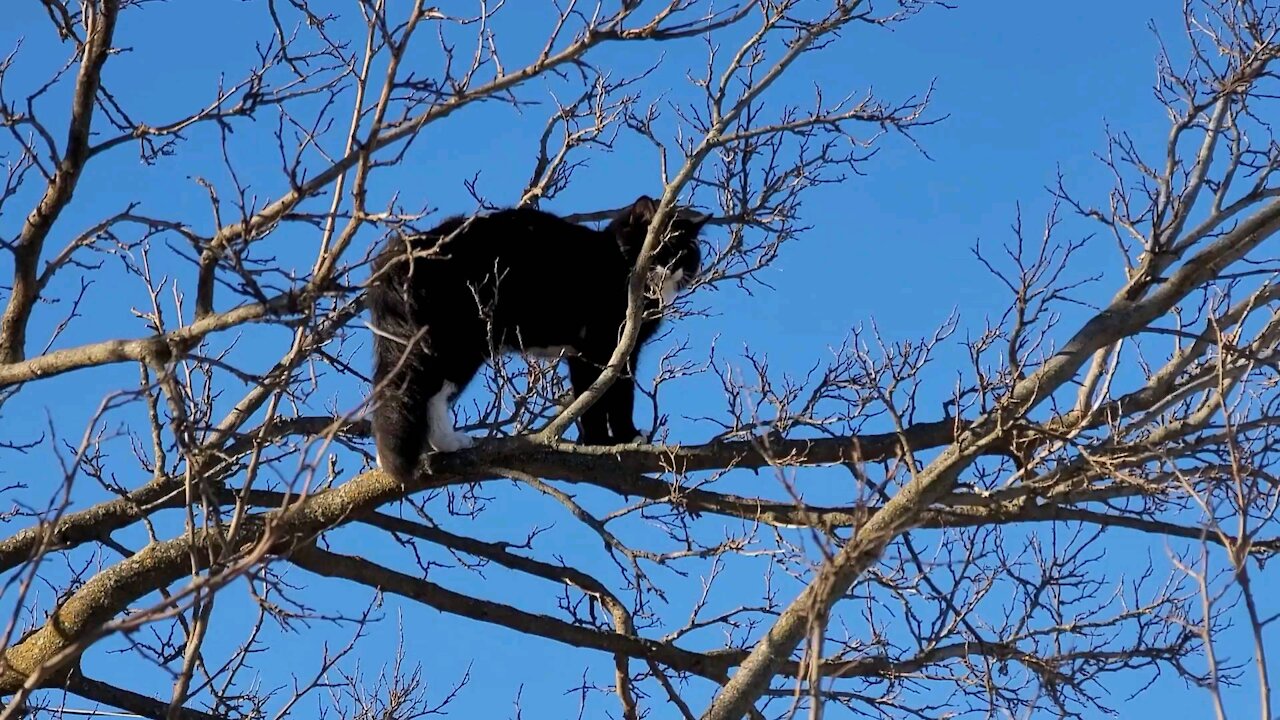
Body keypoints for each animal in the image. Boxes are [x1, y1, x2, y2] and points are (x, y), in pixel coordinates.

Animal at [368, 193, 711, 479]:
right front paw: (606, 441)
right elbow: (603, 399)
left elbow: (605, 396)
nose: (676, 266)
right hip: (459, 342)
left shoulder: (611, 352)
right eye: (663, 244)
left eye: (688, 250)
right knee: (425, 391)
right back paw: (446, 443)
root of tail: (405, 249)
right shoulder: (599, 347)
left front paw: (610, 439)